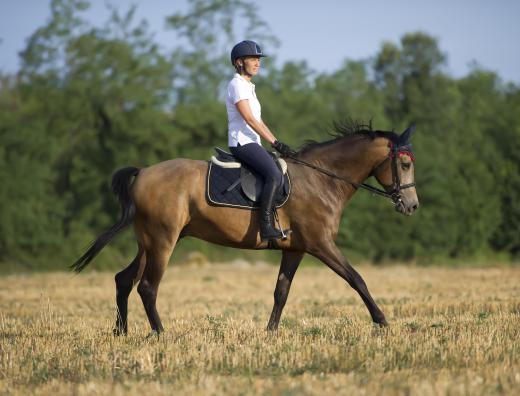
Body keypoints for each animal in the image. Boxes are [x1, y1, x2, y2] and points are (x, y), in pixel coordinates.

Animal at [70, 122, 418, 332]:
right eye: (404, 164)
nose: (412, 206)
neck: (322, 178)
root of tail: (143, 173)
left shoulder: (296, 249)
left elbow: (281, 292)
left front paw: (270, 333)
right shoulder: (321, 245)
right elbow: (357, 279)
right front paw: (383, 322)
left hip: (149, 242)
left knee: (124, 280)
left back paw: (121, 332)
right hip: (162, 241)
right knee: (147, 287)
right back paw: (160, 334)